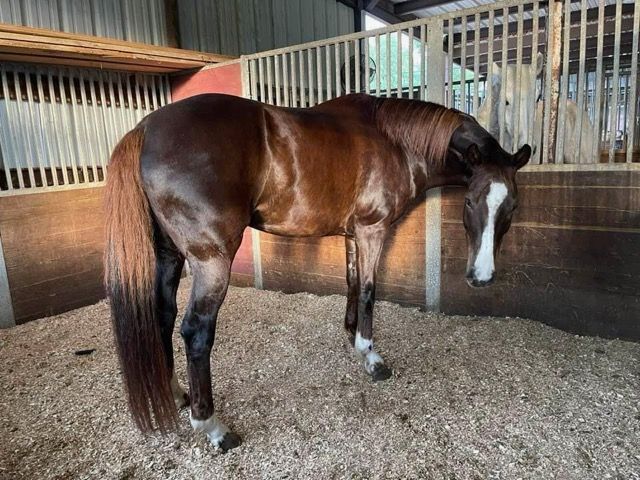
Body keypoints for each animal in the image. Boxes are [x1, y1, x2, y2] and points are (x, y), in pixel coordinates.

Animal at [104, 93, 531, 451]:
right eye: (471, 201)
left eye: (511, 206)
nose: (481, 277)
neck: (395, 141)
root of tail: (145, 129)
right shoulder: (373, 230)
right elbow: (369, 290)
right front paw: (371, 357)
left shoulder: (354, 233)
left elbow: (353, 284)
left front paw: (352, 337)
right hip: (211, 261)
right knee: (195, 331)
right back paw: (212, 427)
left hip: (168, 253)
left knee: (162, 314)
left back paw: (178, 394)